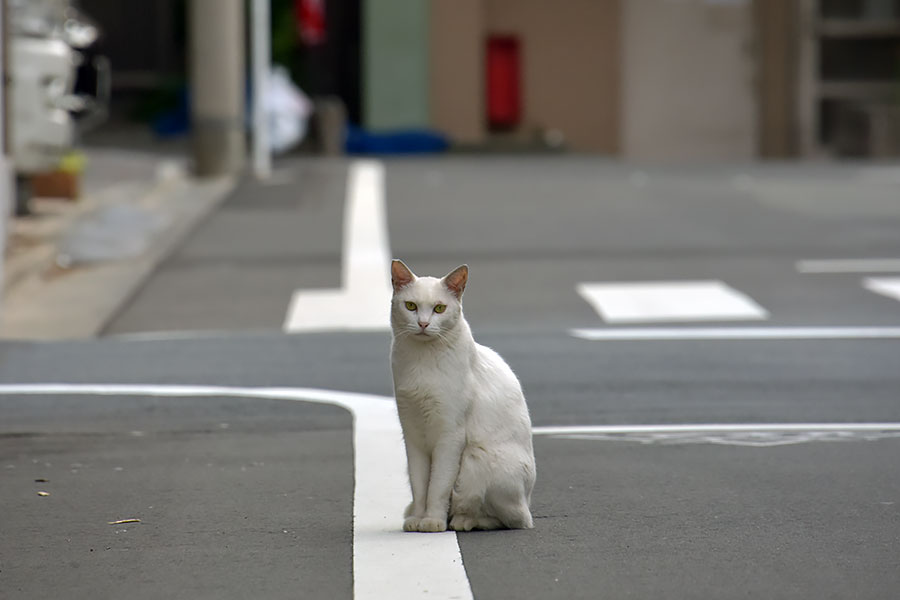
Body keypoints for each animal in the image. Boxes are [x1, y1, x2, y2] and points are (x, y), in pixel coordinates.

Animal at [386, 260, 536, 532]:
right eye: (411, 306)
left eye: (439, 308)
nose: (423, 324)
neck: (422, 361)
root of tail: (527, 499)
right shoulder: (412, 434)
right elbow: (420, 485)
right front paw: (418, 518)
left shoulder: (450, 435)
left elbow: (437, 486)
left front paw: (432, 521)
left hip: (475, 462)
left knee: (509, 519)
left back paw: (462, 521)